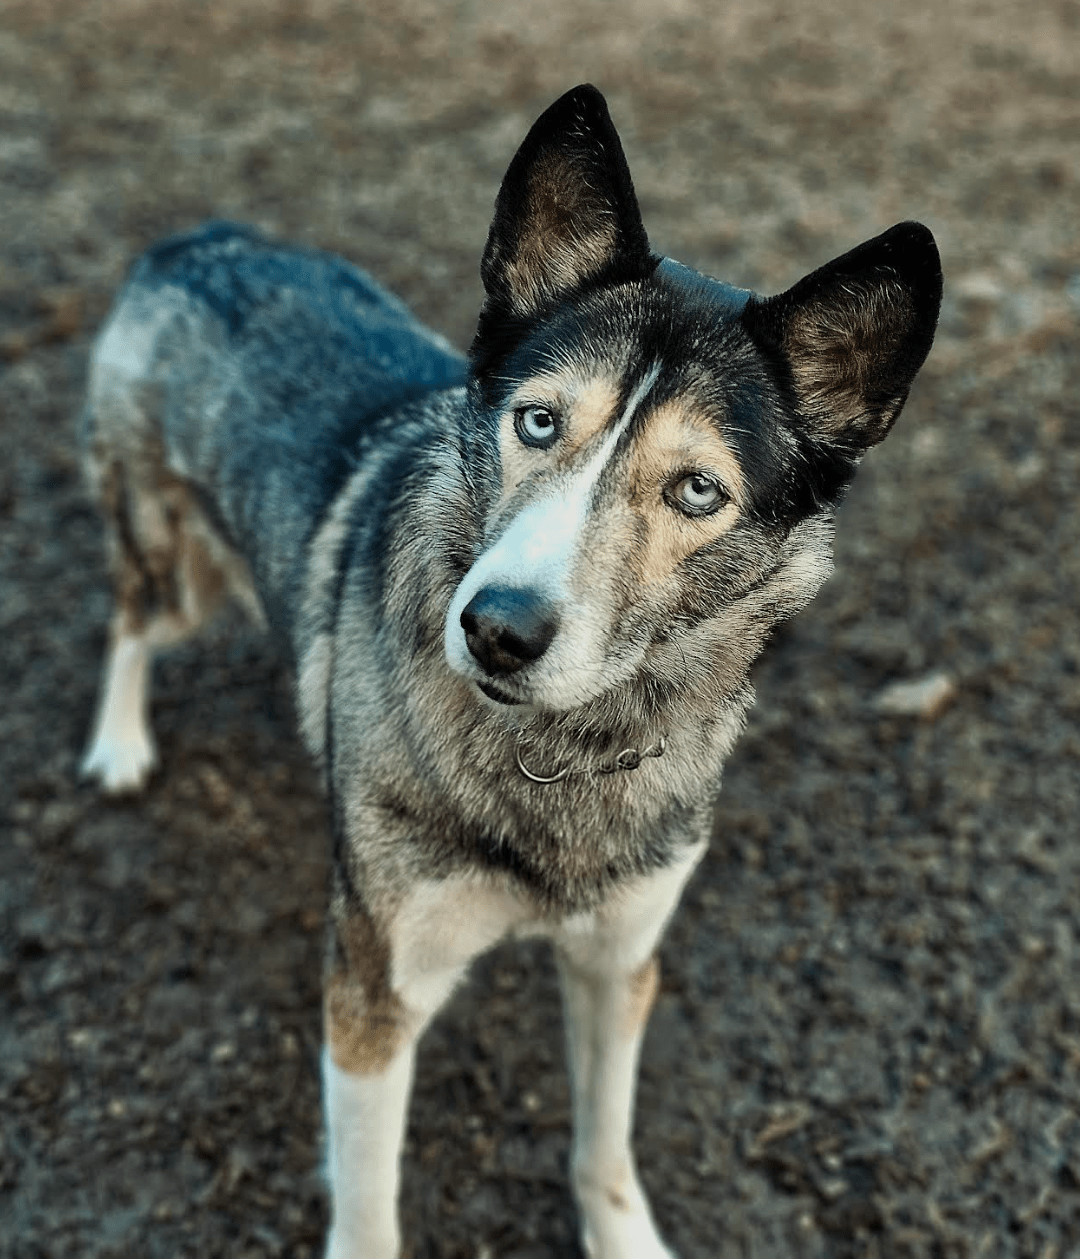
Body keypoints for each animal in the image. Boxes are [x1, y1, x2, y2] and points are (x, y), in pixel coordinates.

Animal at [77, 83, 937, 1254]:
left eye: (697, 491)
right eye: (537, 420)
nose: (495, 628)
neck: (560, 752)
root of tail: (202, 240)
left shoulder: (620, 959)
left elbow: (604, 1142)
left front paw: (622, 1235)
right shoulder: (373, 989)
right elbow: (370, 1206)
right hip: (176, 567)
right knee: (129, 618)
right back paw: (120, 744)